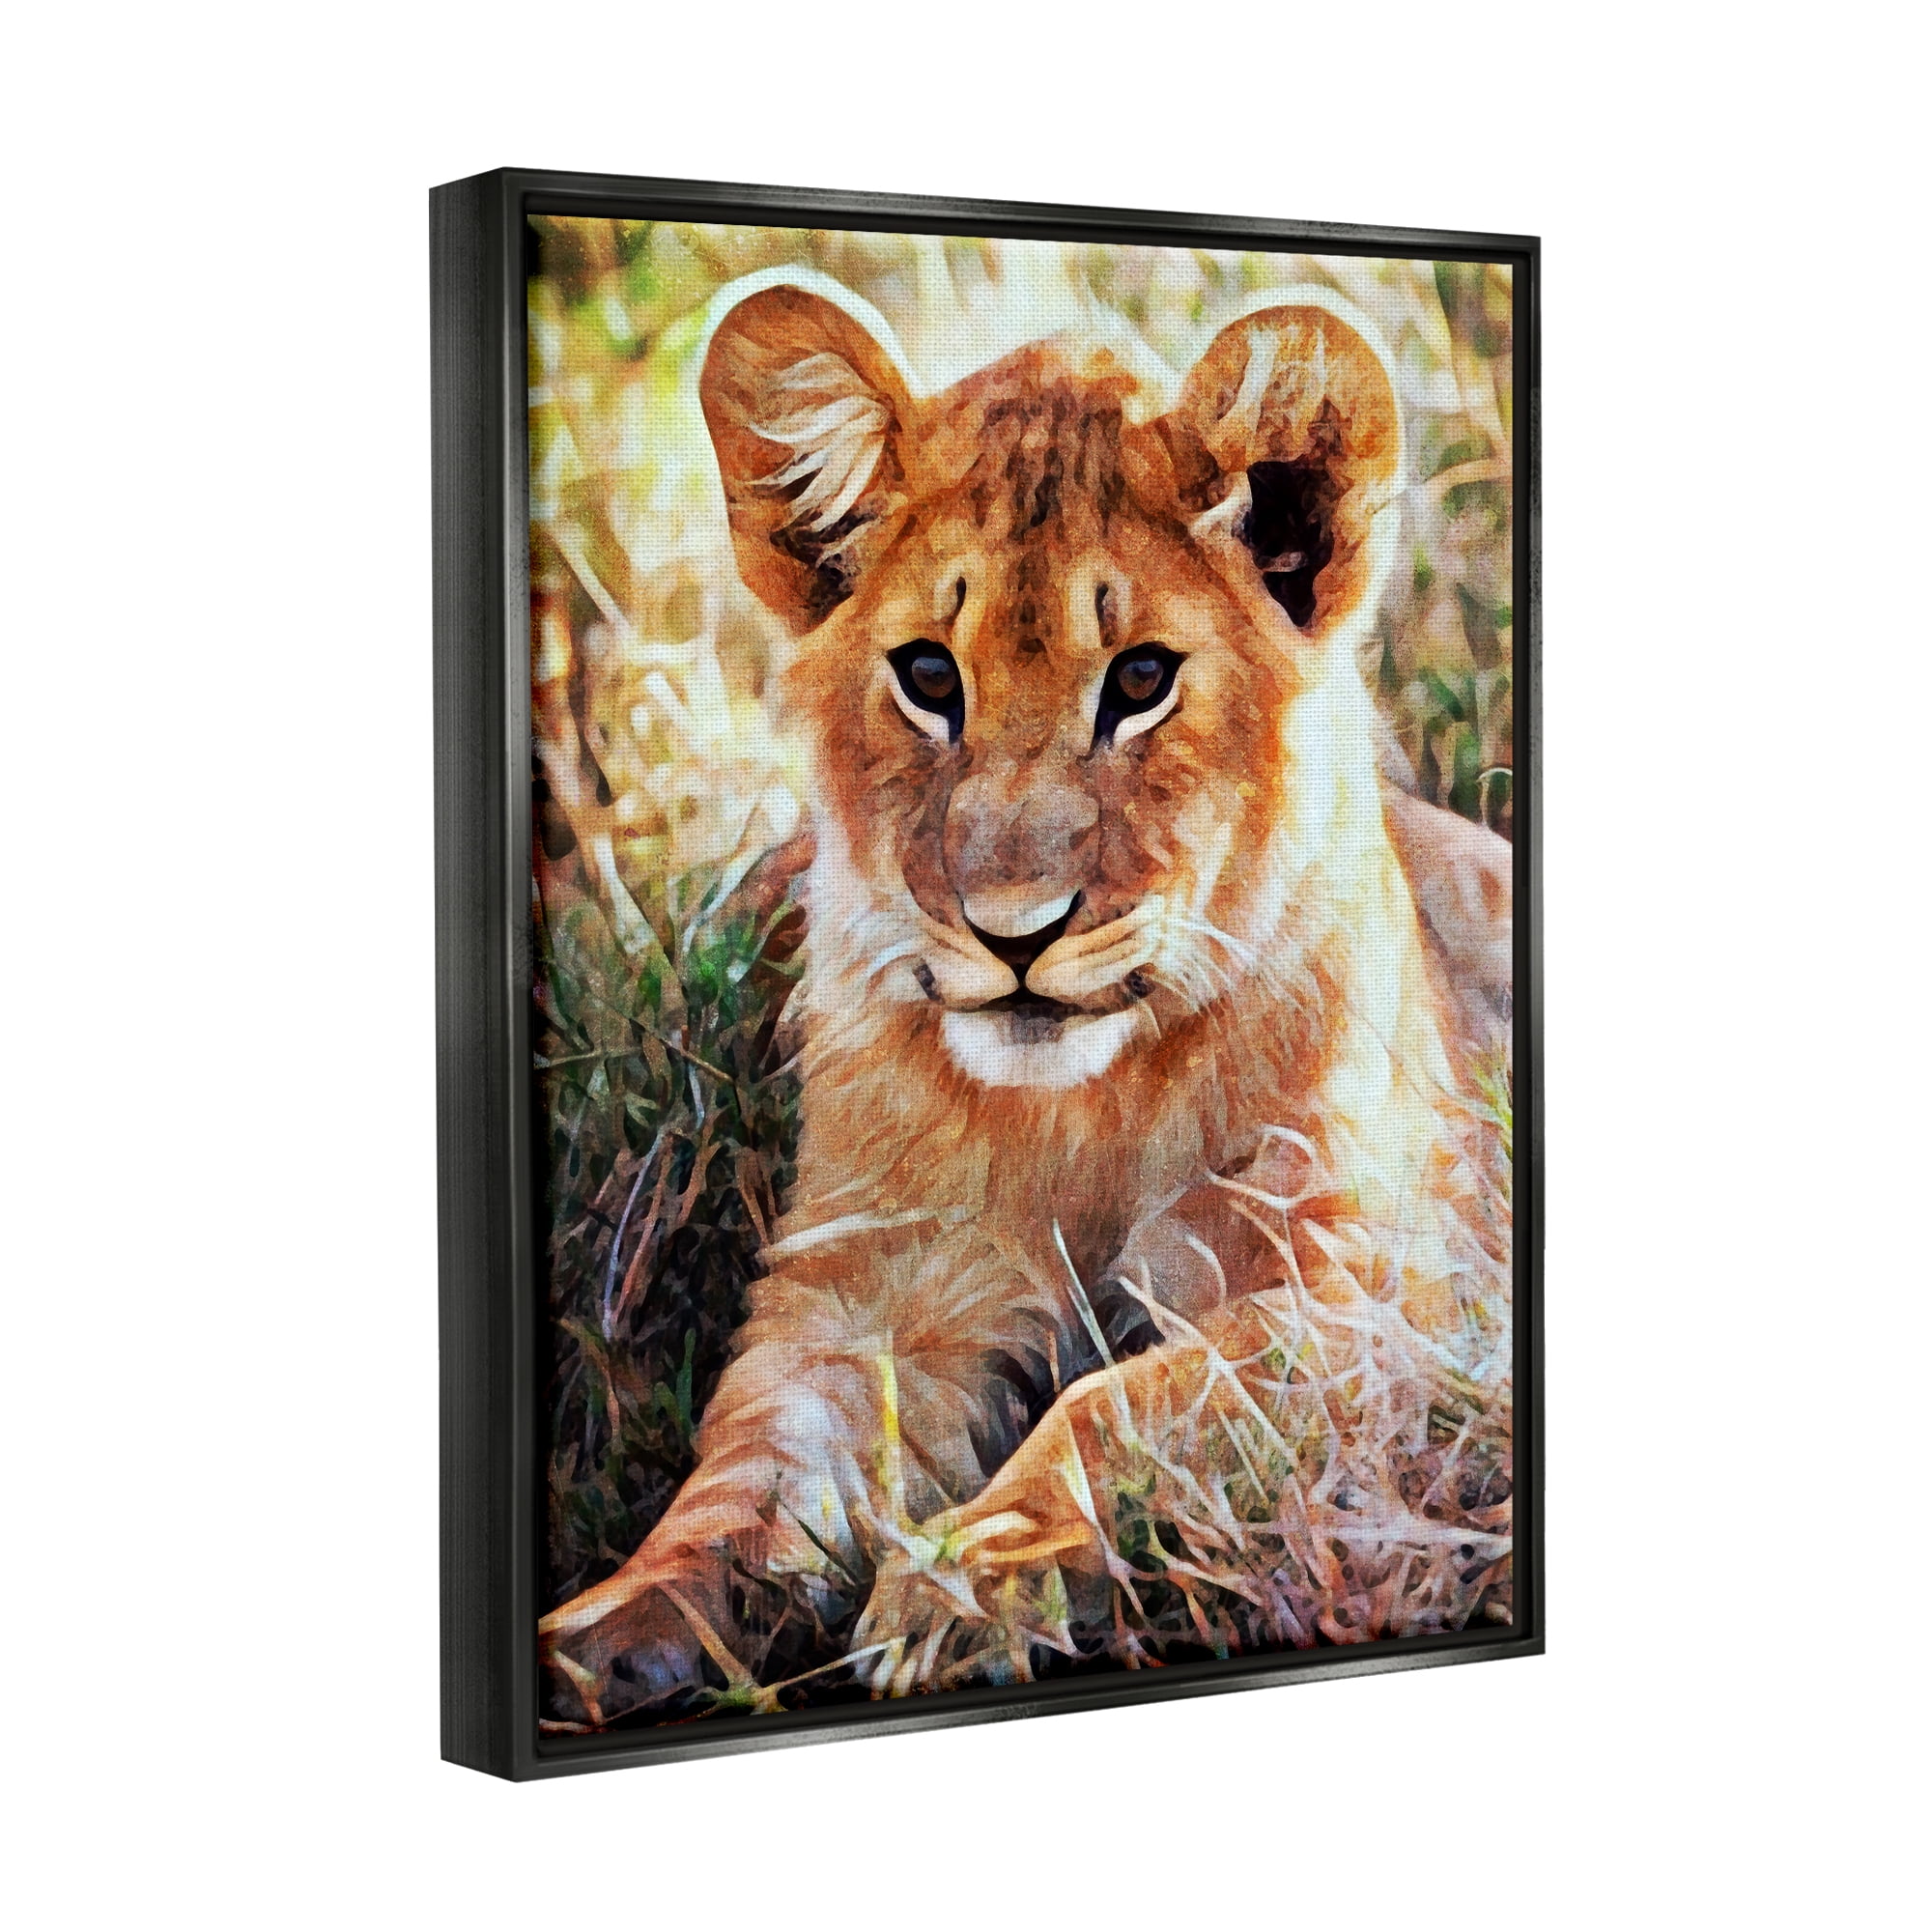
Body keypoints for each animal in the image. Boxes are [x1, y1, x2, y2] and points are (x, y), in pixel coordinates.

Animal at [541, 279, 1513, 1721]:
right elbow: (748, 1472)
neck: (1079, 1117)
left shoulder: (1396, 1290)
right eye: (929, 677)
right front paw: (614, 1627)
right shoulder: (863, 1292)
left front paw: (971, 1581)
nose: (1015, 933)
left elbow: (1130, 1400)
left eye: (1144, 679)